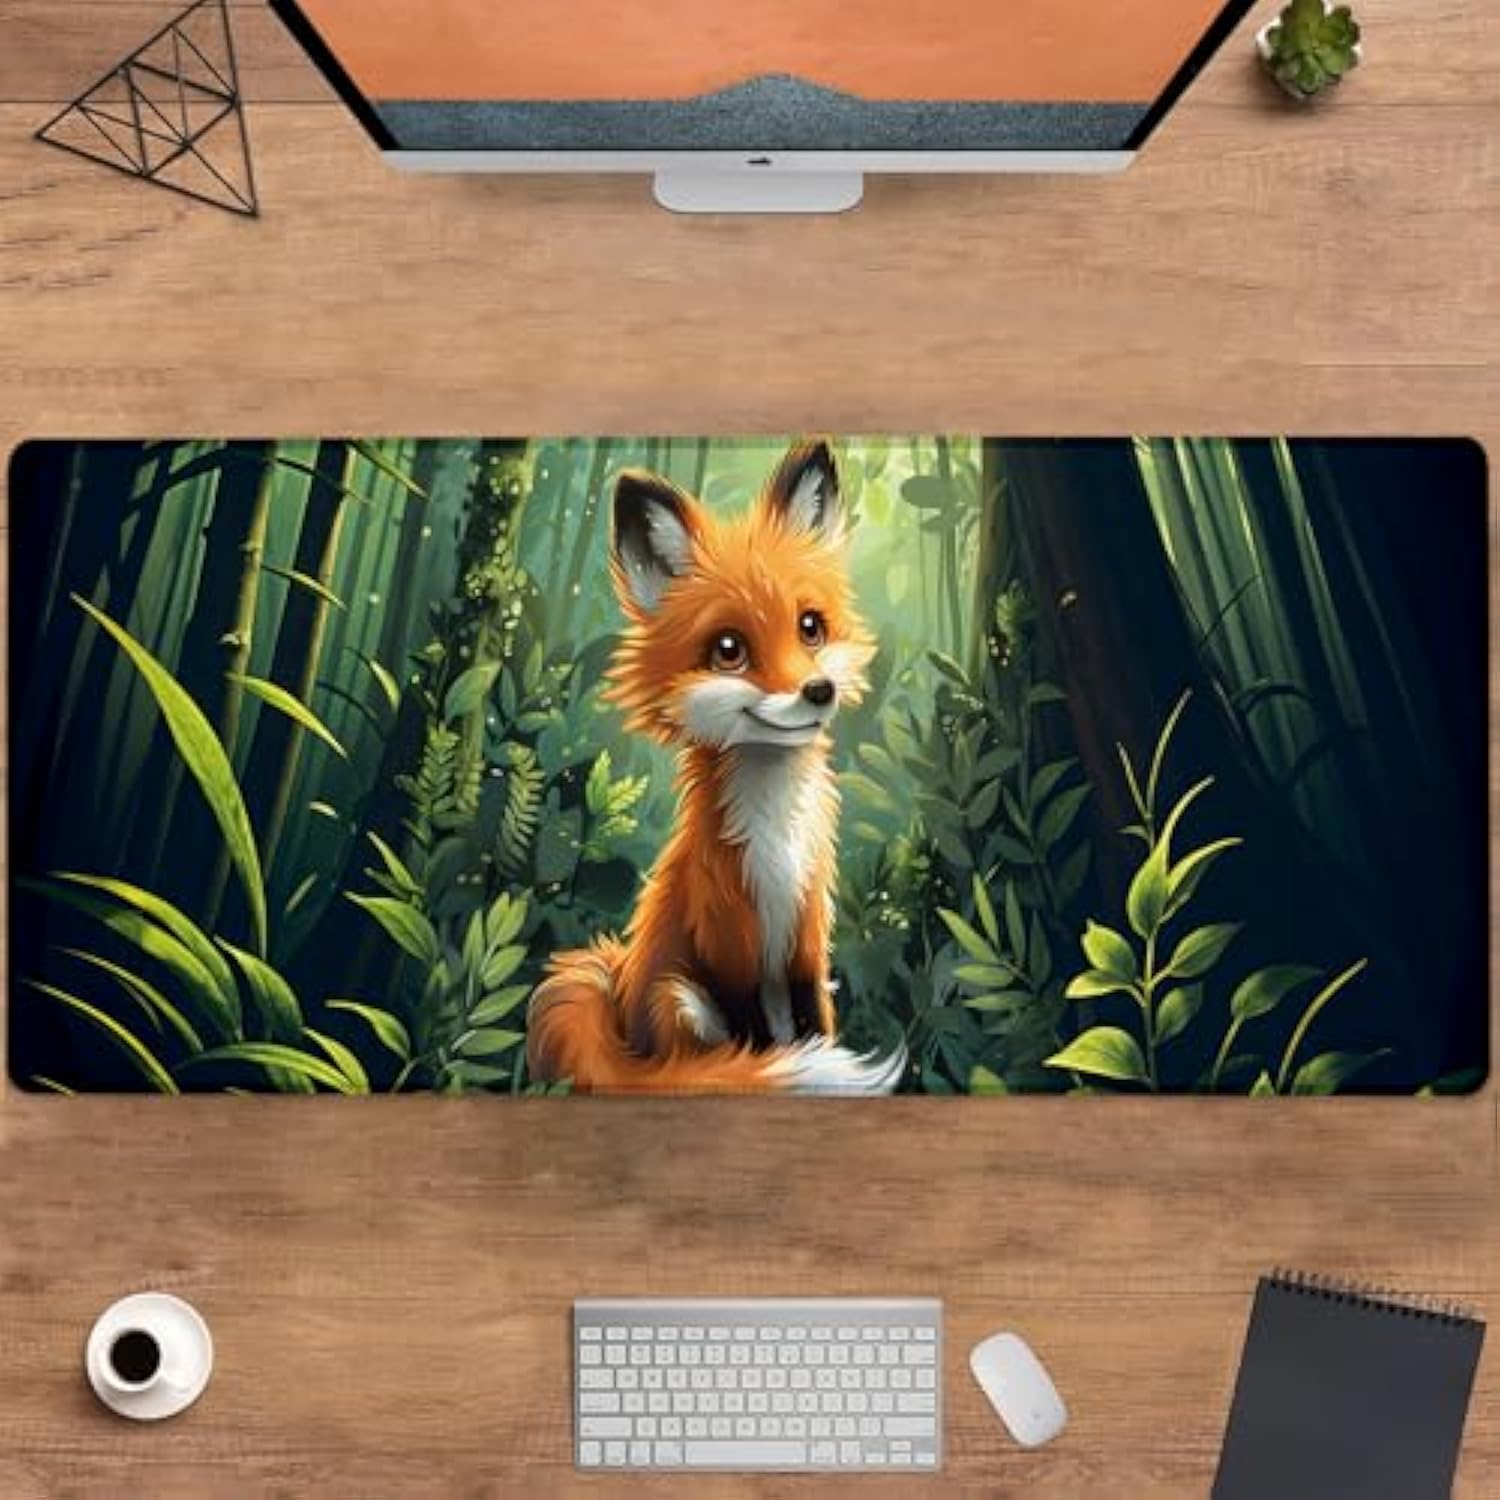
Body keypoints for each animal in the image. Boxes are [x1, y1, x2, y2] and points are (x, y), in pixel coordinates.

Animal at [526, 439, 906, 1094]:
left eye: (810, 627)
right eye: (730, 650)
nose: (819, 691)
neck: (778, 841)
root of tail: (619, 1002)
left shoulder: (807, 932)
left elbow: (815, 1017)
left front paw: (820, 1054)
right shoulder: (729, 941)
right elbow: (752, 1040)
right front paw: (772, 1071)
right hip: (679, 1000)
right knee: (691, 1059)